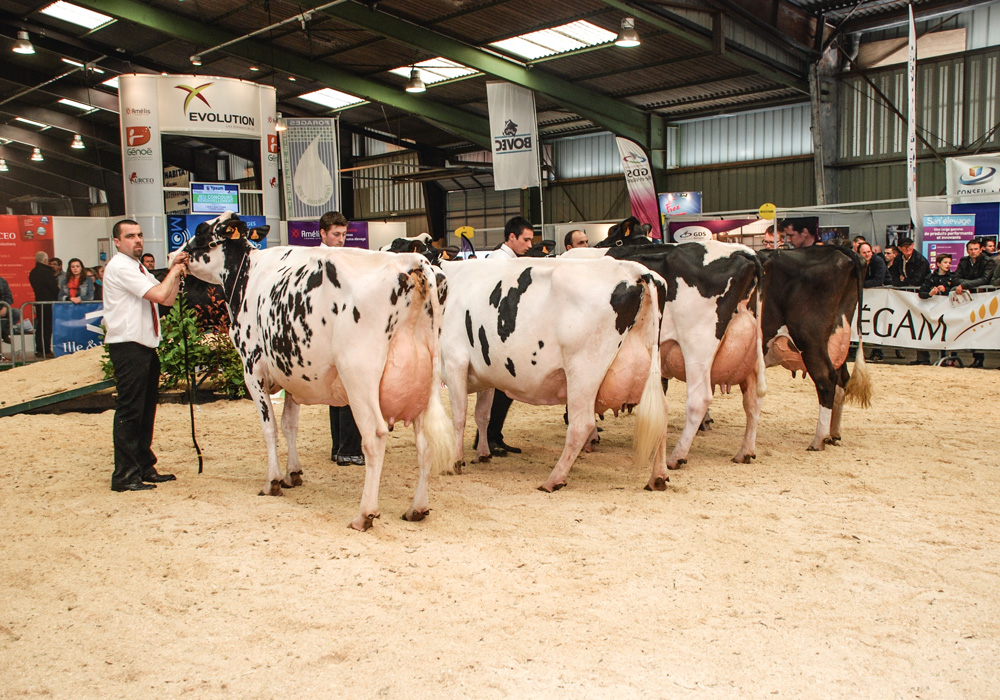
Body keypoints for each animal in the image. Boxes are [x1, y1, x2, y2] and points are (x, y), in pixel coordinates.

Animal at [176, 213, 450, 532]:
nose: (175, 256)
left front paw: (272, 481)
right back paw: (416, 508)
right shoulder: (292, 376)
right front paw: (292, 473)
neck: (248, 276)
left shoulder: (252, 368)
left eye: (200, 230)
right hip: (428, 381)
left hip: (359, 377)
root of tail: (412, 261)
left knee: (374, 437)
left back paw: (364, 514)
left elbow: (269, 428)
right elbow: (289, 425)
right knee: (425, 444)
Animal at [442, 258, 668, 492]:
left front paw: (455, 462)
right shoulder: (485, 375)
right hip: (649, 365)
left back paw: (553, 479)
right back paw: (658, 477)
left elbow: (459, 416)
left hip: (583, 369)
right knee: (660, 416)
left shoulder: (454, 361)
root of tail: (635, 270)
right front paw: (482, 454)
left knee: (581, 424)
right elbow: (482, 415)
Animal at [760, 243, 872, 448]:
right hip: (838, 339)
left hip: (810, 339)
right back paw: (834, 433)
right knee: (842, 380)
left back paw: (819, 439)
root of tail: (838, 249)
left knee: (826, 379)